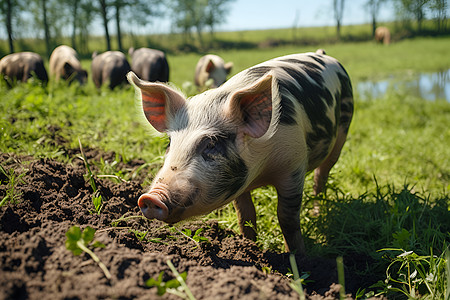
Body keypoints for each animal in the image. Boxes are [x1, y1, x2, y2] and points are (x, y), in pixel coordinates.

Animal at [128, 52, 354, 254]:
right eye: (170, 143)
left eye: (212, 143)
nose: (150, 197)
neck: (262, 171)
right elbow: (245, 215)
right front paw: (248, 247)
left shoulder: (293, 166)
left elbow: (287, 218)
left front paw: (298, 257)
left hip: (343, 130)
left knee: (321, 175)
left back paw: (317, 212)